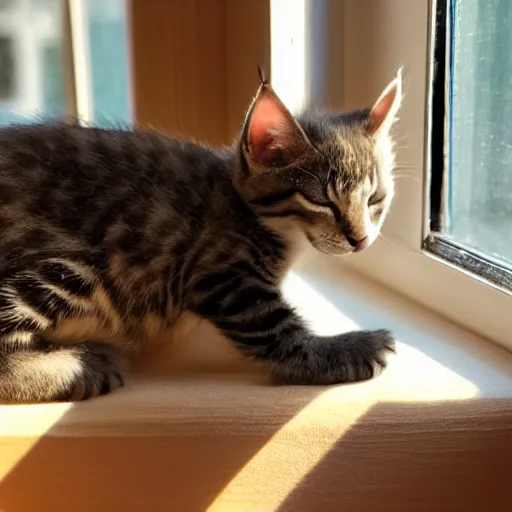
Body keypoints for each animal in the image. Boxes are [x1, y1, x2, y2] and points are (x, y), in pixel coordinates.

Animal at [0, 69, 400, 404]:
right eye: (321, 201)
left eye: (375, 199)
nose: (361, 239)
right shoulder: (221, 276)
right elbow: (279, 333)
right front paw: (350, 349)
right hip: (81, 264)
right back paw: (76, 368)